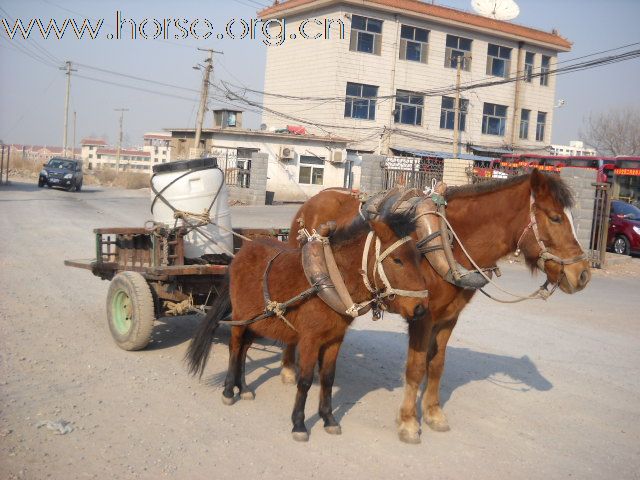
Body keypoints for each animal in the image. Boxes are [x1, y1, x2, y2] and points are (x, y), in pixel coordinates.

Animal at [189, 208, 430, 440]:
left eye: (418, 258)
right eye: (397, 260)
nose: (421, 308)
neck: (331, 279)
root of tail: (241, 253)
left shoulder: (334, 340)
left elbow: (328, 378)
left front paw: (329, 419)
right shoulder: (310, 341)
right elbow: (304, 380)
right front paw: (299, 424)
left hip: (260, 321)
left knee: (244, 348)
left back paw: (244, 387)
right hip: (240, 318)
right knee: (235, 347)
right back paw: (229, 390)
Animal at [282, 171, 592, 444]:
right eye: (555, 217)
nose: (582, 274)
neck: (447, 243)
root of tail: (314, 199)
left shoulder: (448, 318)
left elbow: (437, 365)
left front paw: (433, 413)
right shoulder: (422, 316)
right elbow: (416, 368)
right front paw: (409, 422)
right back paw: (287, 370)